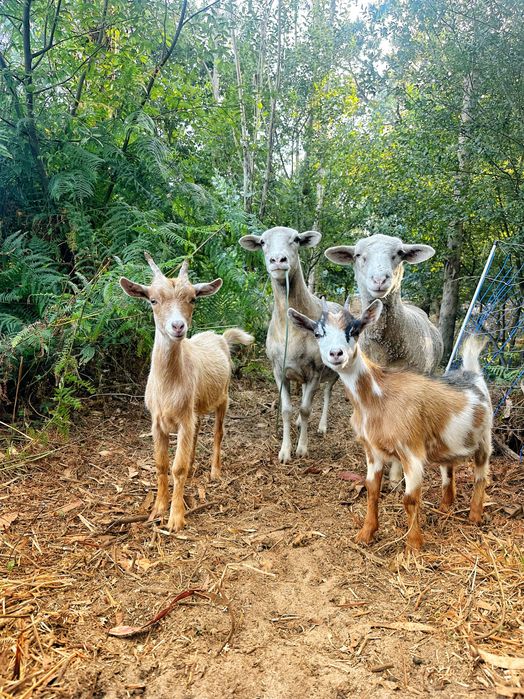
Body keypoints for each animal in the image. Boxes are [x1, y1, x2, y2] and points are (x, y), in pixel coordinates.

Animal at [120, 254, 253, 532]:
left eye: (192, 299)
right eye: (153, 300)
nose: (178, 326)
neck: (168, 385)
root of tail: (220, 337)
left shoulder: (183, 419)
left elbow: (177, 468)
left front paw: (175, 518)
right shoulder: (157, 421)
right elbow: (161, 464)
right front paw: (157, 508)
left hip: (223, 398)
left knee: (217, 433)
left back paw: (214, 472)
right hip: (196, 407)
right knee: (197, 431)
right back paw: (194, 467)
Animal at [239, 227, 339, 463]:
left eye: (296, 239)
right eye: (263, 242)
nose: (278, 260)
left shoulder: (316, 371)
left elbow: (305, 409)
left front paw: (302, 448)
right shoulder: (278, 369)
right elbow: (286, 409)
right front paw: (285, 452)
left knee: (328, 393)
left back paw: (322, 426)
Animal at [288, 299, 492, 551]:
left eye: (354, 330)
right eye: (318, 333)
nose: (336, 353)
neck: (379, 397)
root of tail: (473, 373)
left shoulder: (411, 451)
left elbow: (409, 499)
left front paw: (413, 545)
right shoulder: (372, 450)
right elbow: (372, 489)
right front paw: (366, 534)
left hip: (485, 438)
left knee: (481, 474)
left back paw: (474, 516)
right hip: (448, 443)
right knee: (448, 468)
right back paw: (445, 506)